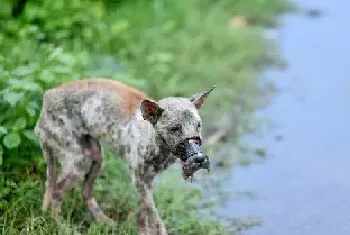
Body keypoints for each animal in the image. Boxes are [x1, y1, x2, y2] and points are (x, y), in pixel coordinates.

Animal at [34, 78, 216, 234]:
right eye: (175, 128)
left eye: (198, 125)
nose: (199, 158)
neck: (154, 139)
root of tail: (47, 96)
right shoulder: (140, 181)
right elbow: (155, 218)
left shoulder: (145, 182)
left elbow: (142, 213)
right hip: (80, 160)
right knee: (56, 192)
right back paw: (62, 227)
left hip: (96, 157)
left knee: (85, 191)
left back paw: (105, 221)